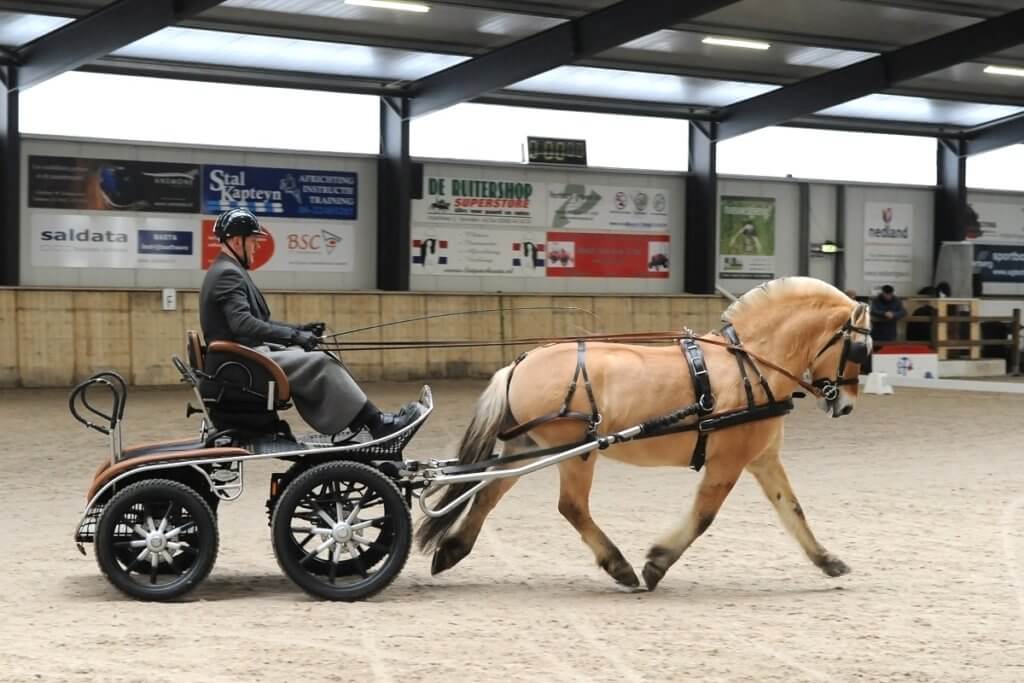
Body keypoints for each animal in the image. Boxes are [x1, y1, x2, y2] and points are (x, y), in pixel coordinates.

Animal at [413, 274, 872, 589]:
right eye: (859, 349)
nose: (846, 405)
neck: (750, 364)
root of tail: (518, 364)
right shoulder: (727, 461)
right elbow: (704, 515)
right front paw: (656, 563)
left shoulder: (762, 459)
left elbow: (792, 509)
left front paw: (827, 560)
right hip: (577, 451)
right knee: (571, 507)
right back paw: (621, 567)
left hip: (528, 446)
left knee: (488, 492)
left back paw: (452, 551)